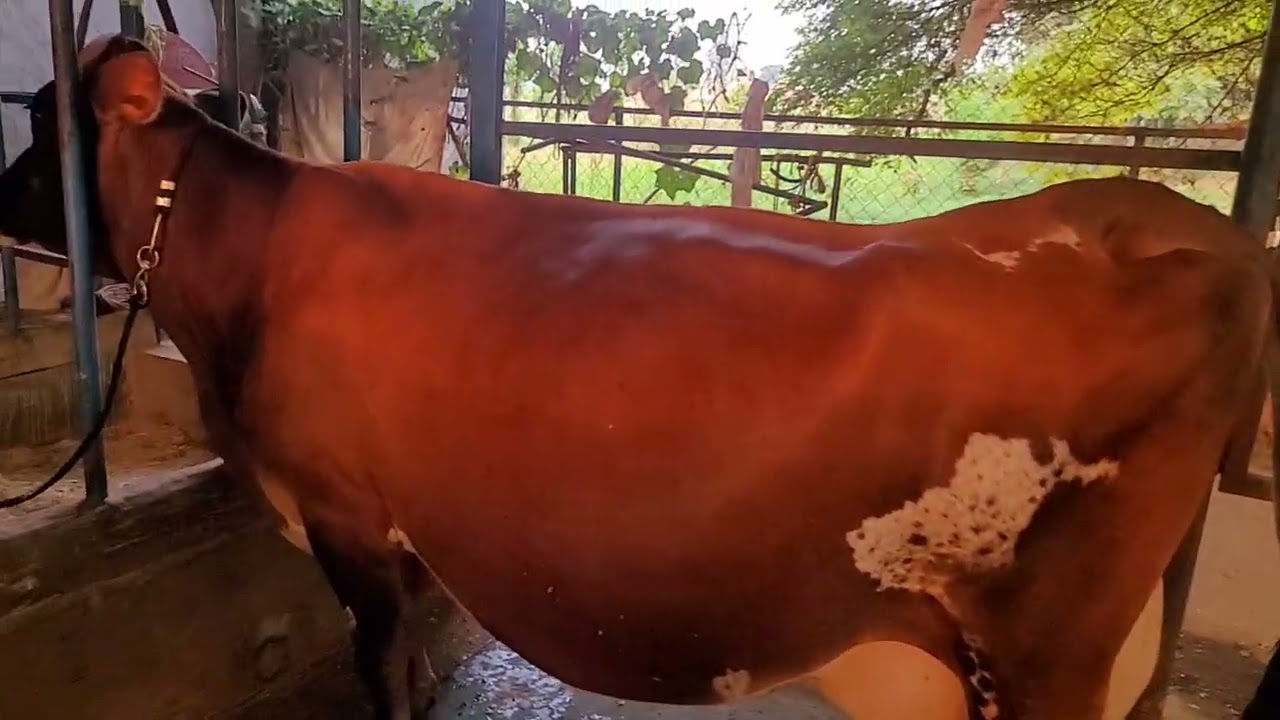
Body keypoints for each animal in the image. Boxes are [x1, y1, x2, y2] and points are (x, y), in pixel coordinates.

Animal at [1, 34, 1277, 720]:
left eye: (42, 124)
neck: (248, 269)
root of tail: (1176, 226)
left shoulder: (342, 511)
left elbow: (383, 666)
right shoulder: (401, 530)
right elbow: (415, 663)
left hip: (1045, 648)